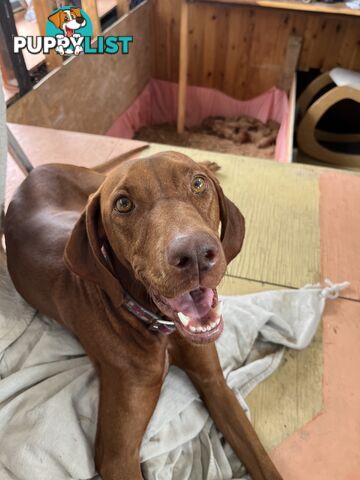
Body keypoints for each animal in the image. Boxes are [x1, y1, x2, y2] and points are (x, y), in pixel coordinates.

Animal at [4, 148, 282, 478]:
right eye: (123, 204)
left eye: (198, 184)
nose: (196, 255)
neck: (159, 327)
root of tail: (33, 173)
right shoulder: (117, 455)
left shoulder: (215, 385)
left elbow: (263, 463)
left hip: (91, 184)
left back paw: (209, 160)